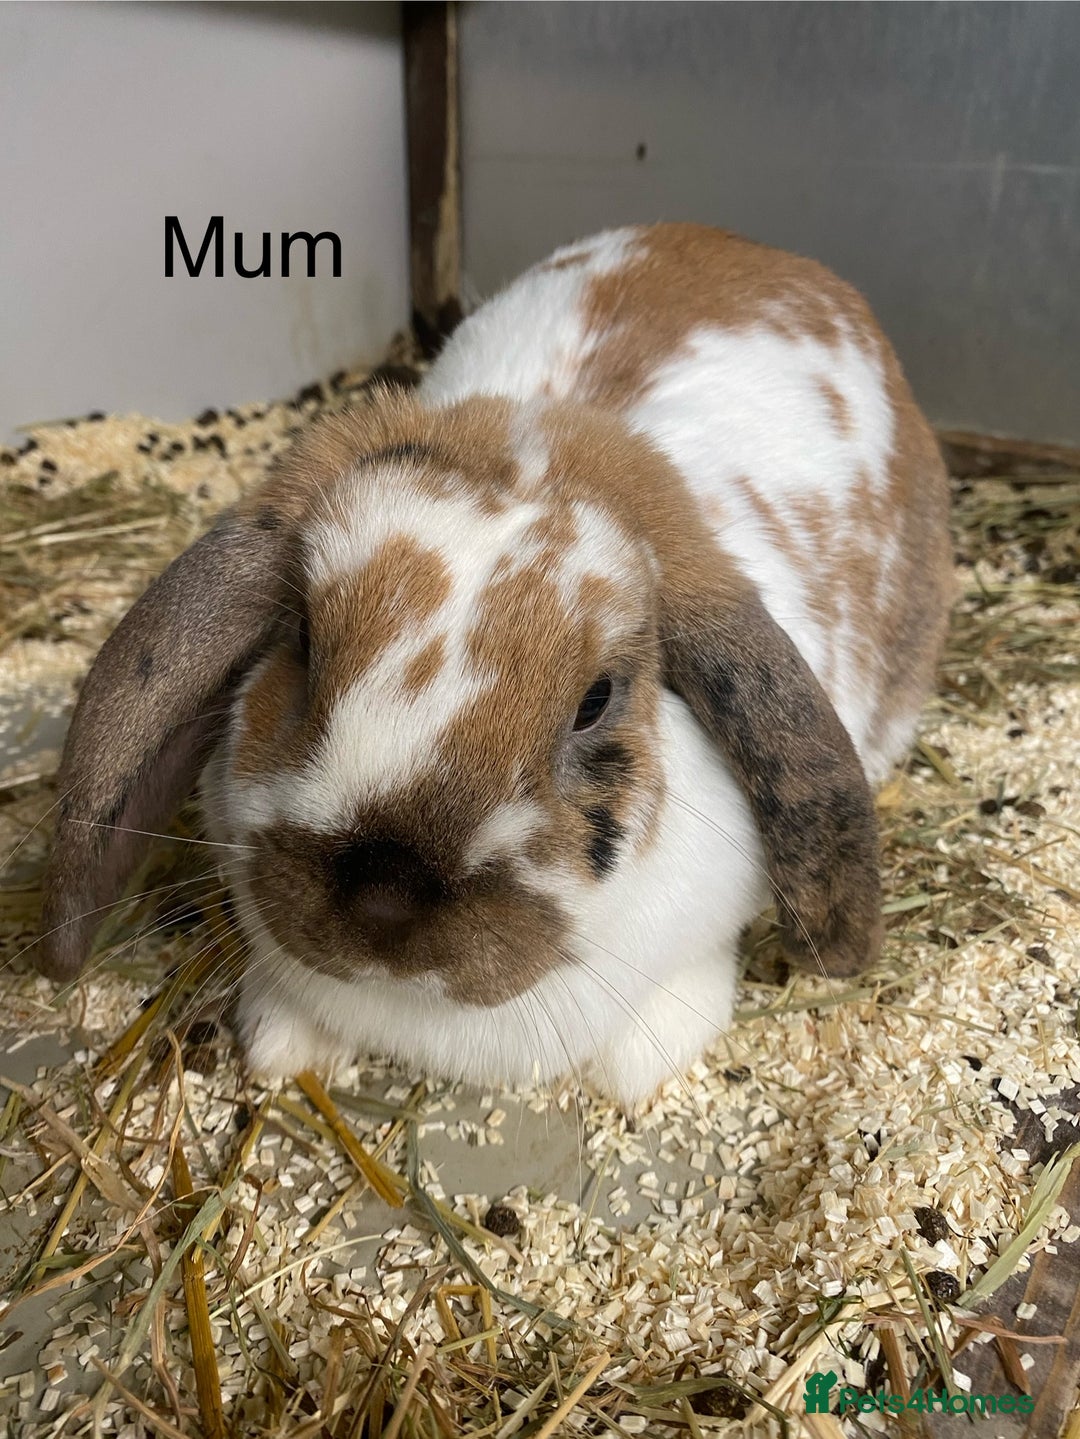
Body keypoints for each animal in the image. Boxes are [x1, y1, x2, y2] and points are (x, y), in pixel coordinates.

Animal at [37, 224, 952, 1107]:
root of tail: (755, 249)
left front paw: (631, 1075)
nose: (383, 897)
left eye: (596, 700)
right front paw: (280, 1049)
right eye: (302, 638)